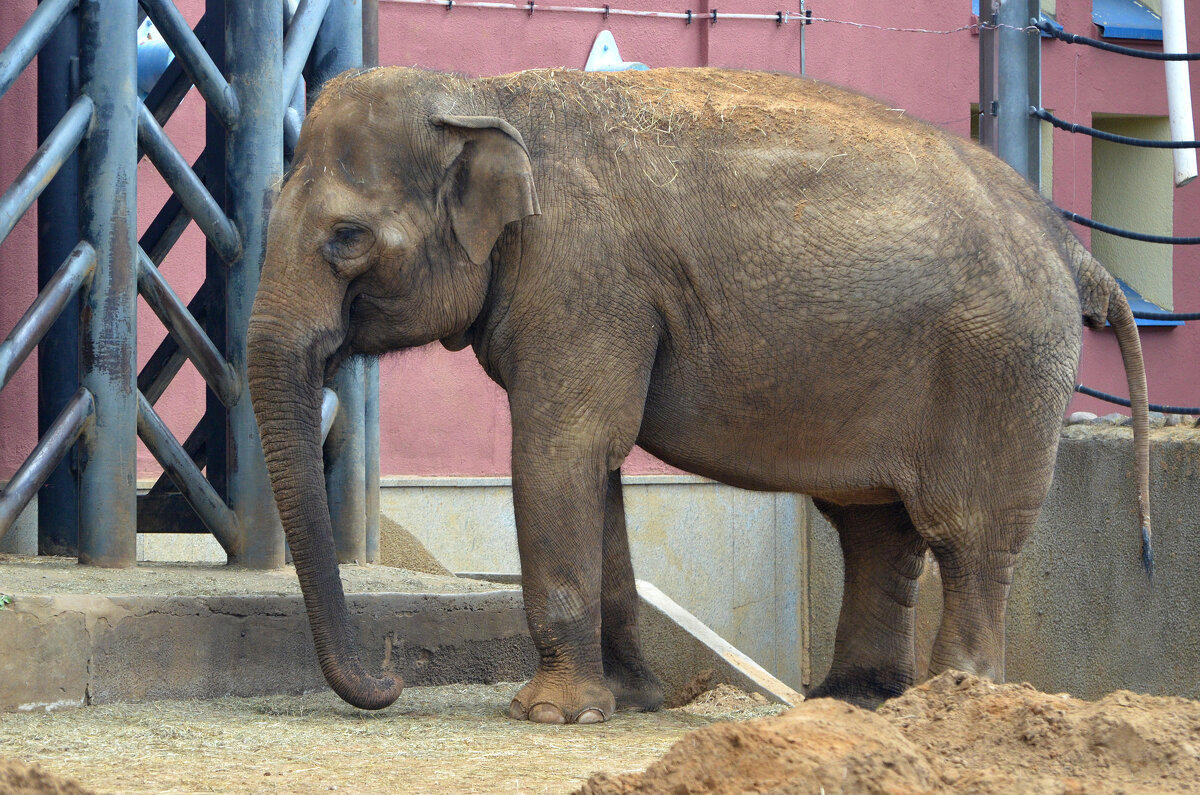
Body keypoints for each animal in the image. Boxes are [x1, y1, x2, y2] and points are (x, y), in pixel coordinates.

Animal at [246, 68, 1152, 725]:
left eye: (347, 238)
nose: (392, 678)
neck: (485, 97)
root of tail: (1072, 247)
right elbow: (594, 468)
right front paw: (630, 702)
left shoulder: (585, 275)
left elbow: (559, 450)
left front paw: (551, 716)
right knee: (875, 527)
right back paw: (853, 702)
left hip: (1000, 366)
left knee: (967, 535)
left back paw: (950, 700)